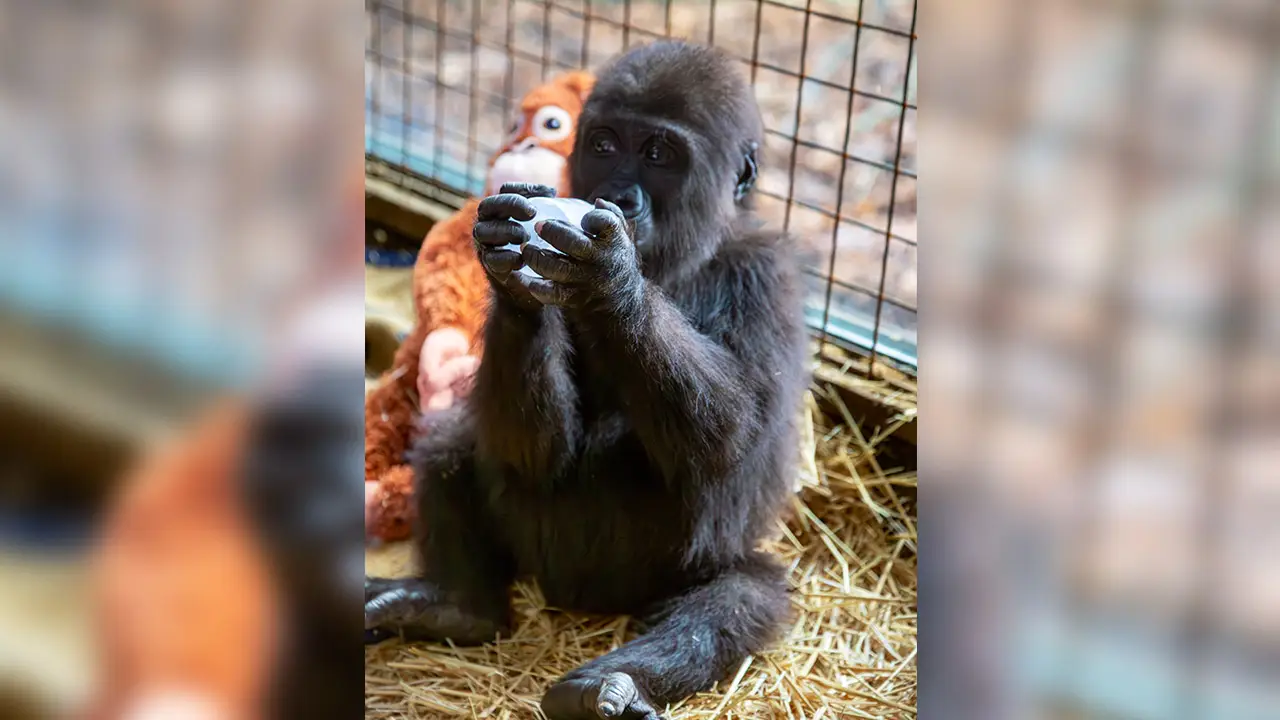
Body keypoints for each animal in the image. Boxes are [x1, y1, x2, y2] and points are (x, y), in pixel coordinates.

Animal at [366, 40, 803, 717]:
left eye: (658, 154)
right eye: (602, 145)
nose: (620, 194)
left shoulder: (765, 276)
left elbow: (731, 439)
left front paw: (611, 278)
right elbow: (531, 451)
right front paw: (510, 279)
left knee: (742, 595)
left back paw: (611, 681)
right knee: (451, 446)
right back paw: (455, 607)